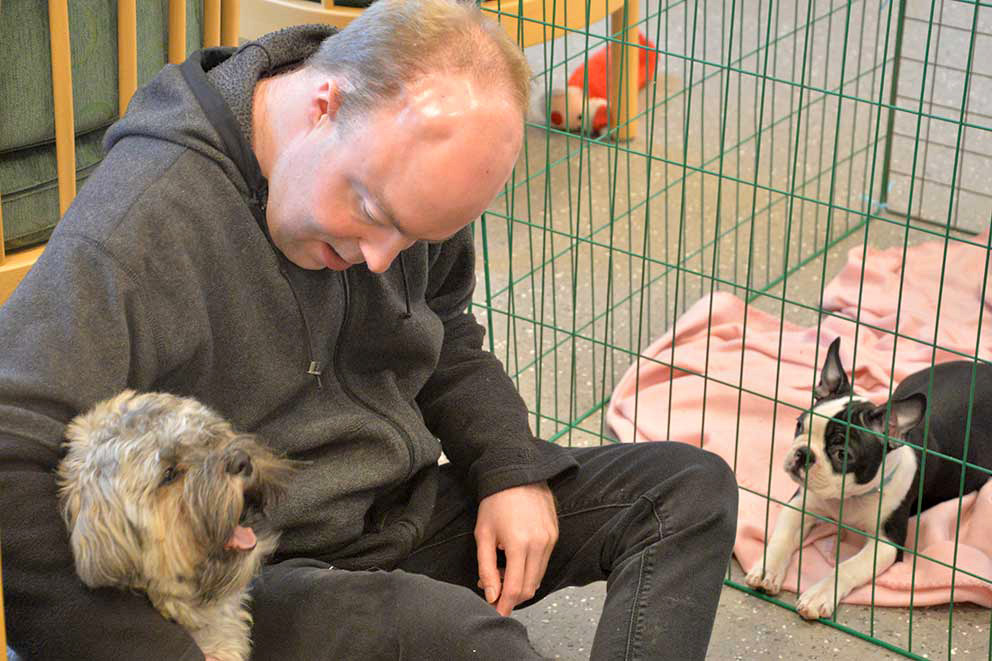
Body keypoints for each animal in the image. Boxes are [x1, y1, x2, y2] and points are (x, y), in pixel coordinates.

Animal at [745, 338, 992, 619]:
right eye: (800, 425)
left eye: (842, 454)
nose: (803, 454)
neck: (850, 497)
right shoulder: (800, 505)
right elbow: (781, 538)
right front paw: (767, 569)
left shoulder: (886, 544)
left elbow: (848, 567)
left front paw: (820, 594)